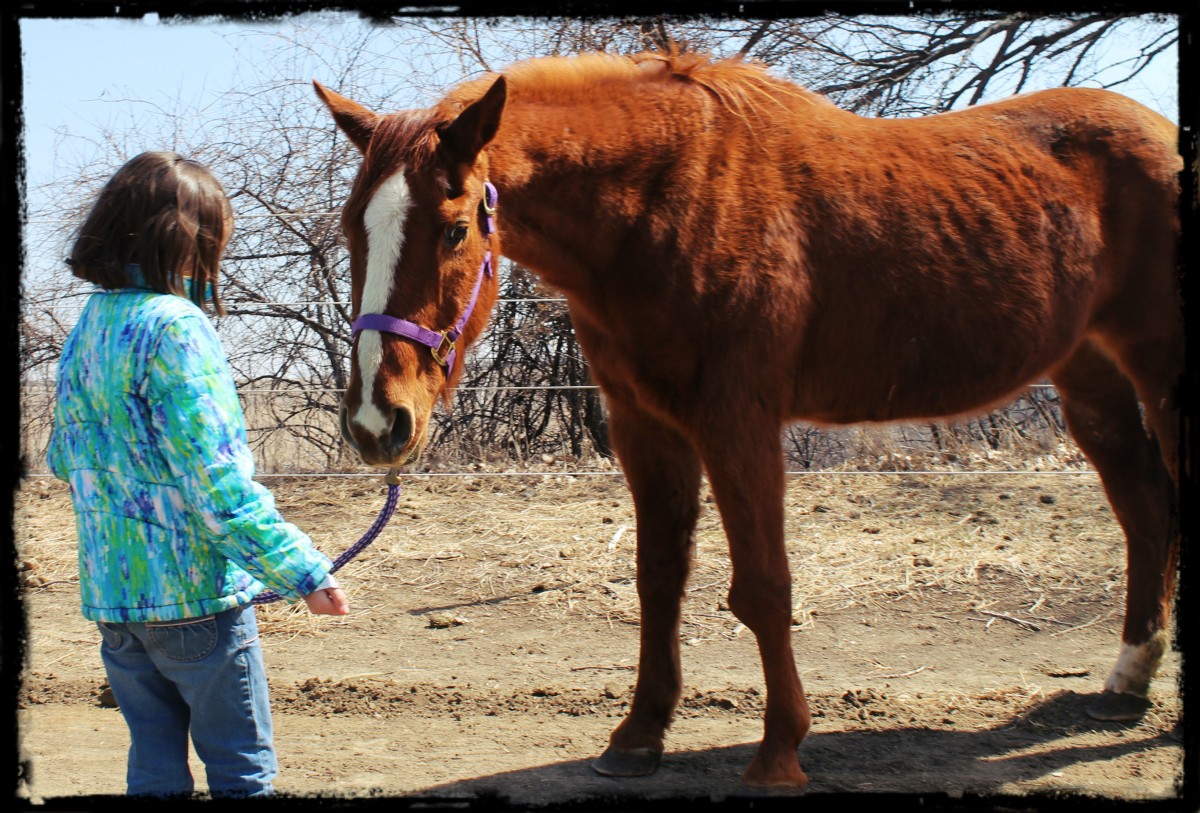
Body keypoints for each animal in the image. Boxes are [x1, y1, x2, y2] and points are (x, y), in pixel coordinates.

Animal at [312, 50, 1180, 791]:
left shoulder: (738, 422)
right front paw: (637, 736)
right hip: (1088, 374)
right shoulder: (645, 426)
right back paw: (1127, 679)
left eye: (455, 227)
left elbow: (762, 586)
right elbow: (658, 576)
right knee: (1141, 504)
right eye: (352, 228)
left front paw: (779, 751)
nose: (378, 421)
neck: (670, 200)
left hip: (1161, 369)